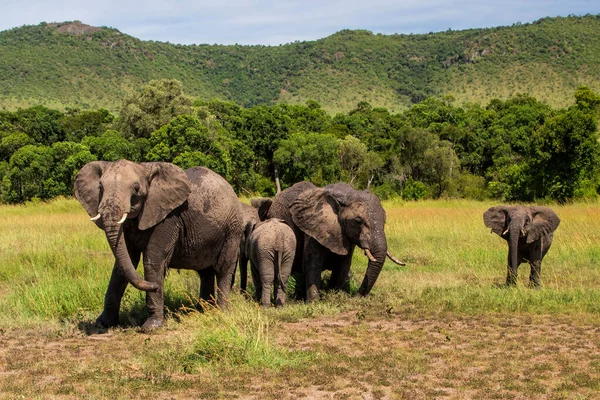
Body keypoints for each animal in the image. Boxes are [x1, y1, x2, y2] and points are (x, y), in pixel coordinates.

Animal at [74, 159, 243, 332]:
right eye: (100, 187)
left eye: (136, 189)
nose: (155, 286)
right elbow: (124, 264)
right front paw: (102, 324)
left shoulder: (167, 218)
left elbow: (153, 262)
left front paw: (150, 327)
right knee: (205, 272)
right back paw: (203, 310)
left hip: (233, 229)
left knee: (223, 269)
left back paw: (222, 312)